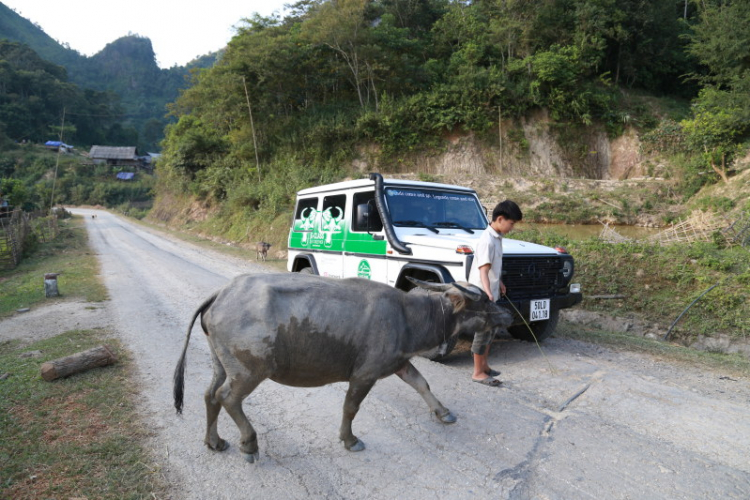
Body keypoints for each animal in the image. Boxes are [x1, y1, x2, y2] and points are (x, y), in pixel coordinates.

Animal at [172, 272, 512, 462]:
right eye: (484, 302)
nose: (507, 315)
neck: (407, 315)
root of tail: (222, 293)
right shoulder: (365, 375)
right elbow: (351, 408)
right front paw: (350, 440)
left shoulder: (401, 363)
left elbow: (422, 384)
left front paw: (443, 413)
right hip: (251, 369)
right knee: (228, 398)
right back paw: (249, 445)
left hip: (221, 362)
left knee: (210, 394)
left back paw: (214, 442)